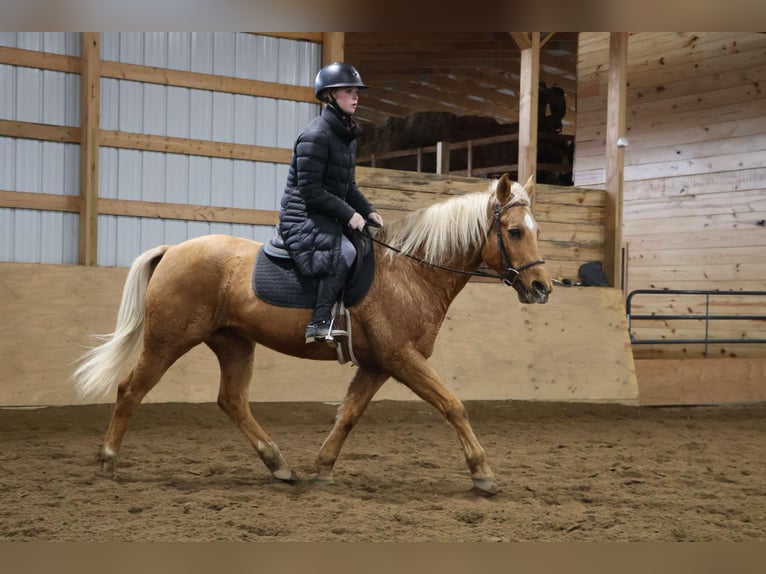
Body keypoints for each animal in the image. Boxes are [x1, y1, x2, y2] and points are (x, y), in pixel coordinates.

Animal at [72, 173, 553, 496]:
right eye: (514, 231)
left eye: (536, 230)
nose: (541, 287)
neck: (410, 271)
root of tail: (173, 249)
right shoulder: (402, 358)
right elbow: (453, 404)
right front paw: (483, 473)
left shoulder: (378, 364)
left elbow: (348, 414)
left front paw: (323, 468)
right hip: (168, 341)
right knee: (130, 389)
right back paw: (108, 463)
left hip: (233, 343)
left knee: (232, 401)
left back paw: (279, 465)